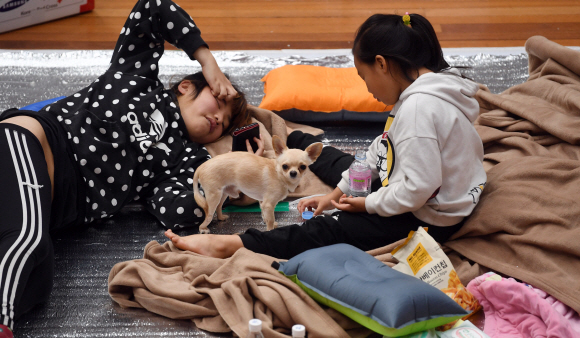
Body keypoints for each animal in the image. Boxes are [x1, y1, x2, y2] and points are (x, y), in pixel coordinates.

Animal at [194, 135, 322, 232]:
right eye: (285, 166)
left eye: (303, 167)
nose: (293, 173)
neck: (278, 174)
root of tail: (201, 167)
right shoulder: (268, 204)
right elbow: (270, 219)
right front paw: (270, 230)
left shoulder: (263, 202)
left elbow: (265, 215)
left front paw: (268, 223)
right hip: (214, 196)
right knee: (209, 214)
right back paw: (203, 228)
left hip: (223, 193)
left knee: (219, 207)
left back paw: (221, 218)